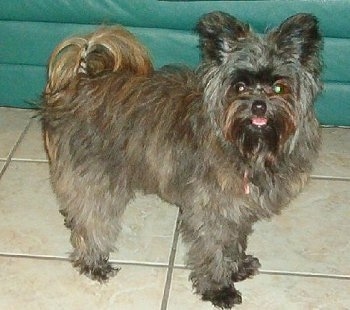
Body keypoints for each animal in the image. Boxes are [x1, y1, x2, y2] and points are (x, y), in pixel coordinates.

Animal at [41, 11, 322, 308]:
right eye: (240, 86)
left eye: (279, 88)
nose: (258, 104)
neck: (247, 147)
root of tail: (80, 81)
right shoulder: (211, 211)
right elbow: (214, 249)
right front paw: (218, 287)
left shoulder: (237, 210)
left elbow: (234, 241)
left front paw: (237, 266)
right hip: (96, 176)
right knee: (92, 218)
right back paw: (93, 262)